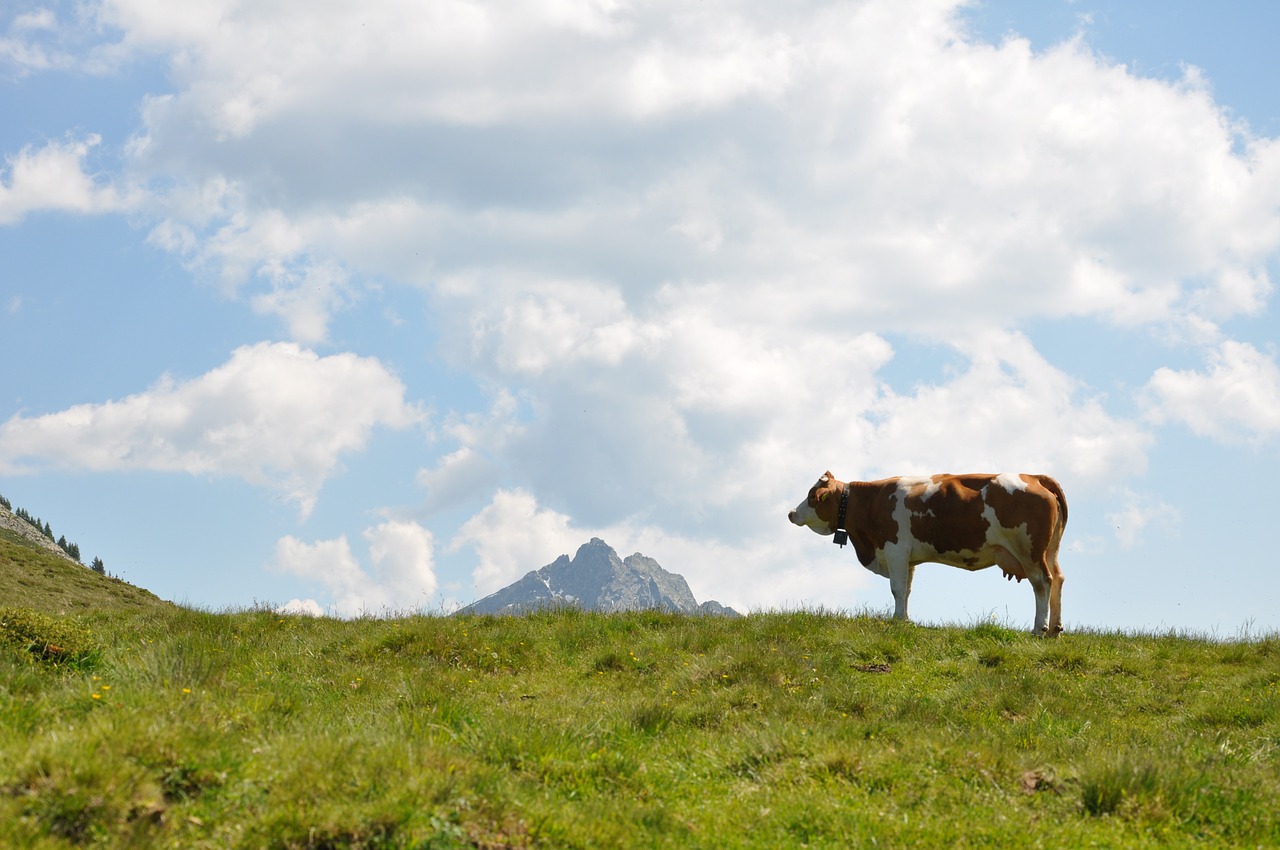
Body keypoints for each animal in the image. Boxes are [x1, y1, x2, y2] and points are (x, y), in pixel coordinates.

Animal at [788, 473, 1070, 634]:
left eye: (812, 496)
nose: (791, 513)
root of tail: (1034, 476)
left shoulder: (895, 550)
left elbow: (897, 589)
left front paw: (897, 620)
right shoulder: (907, 558)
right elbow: (907, 590)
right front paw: (904, 619)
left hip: (1030, 551)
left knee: (1043, 583)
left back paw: (1039, 628)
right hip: (1050, 551)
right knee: (1058, 579)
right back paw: (1055, 629)